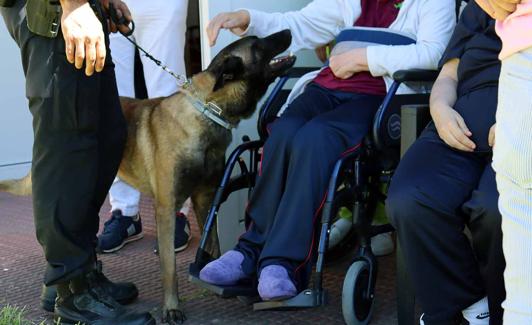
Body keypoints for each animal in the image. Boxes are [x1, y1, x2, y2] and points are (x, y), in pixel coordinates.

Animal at [1, 29, 296, 322]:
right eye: (258, 44)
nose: (288, 31)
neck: (206, 110)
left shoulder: (206, 198)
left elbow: (213, 244)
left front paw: (213, 273)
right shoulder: (165, 208)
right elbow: (170, 267)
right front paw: (172, 307)